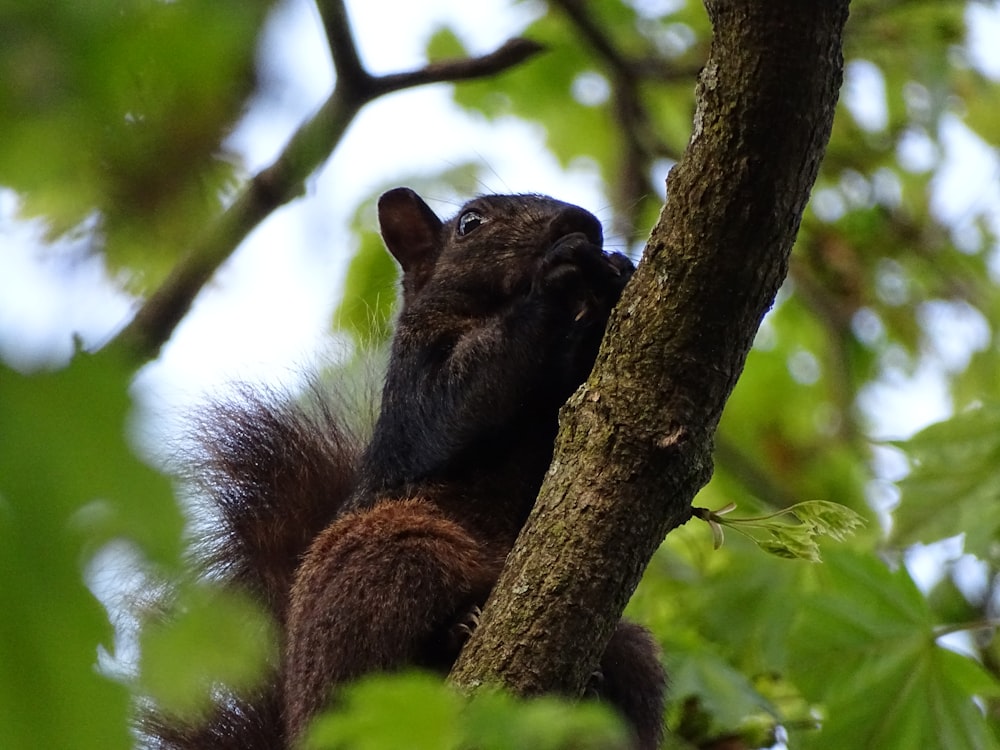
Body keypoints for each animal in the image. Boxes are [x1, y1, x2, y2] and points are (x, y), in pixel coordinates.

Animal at [141, 188, 668, 750]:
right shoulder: (415, 393)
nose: (582, 223)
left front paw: (614, 276)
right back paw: (452, 636)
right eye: (470, 223)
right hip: (392, 556)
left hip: (630, 651)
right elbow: (462, 398)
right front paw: (563, 273)